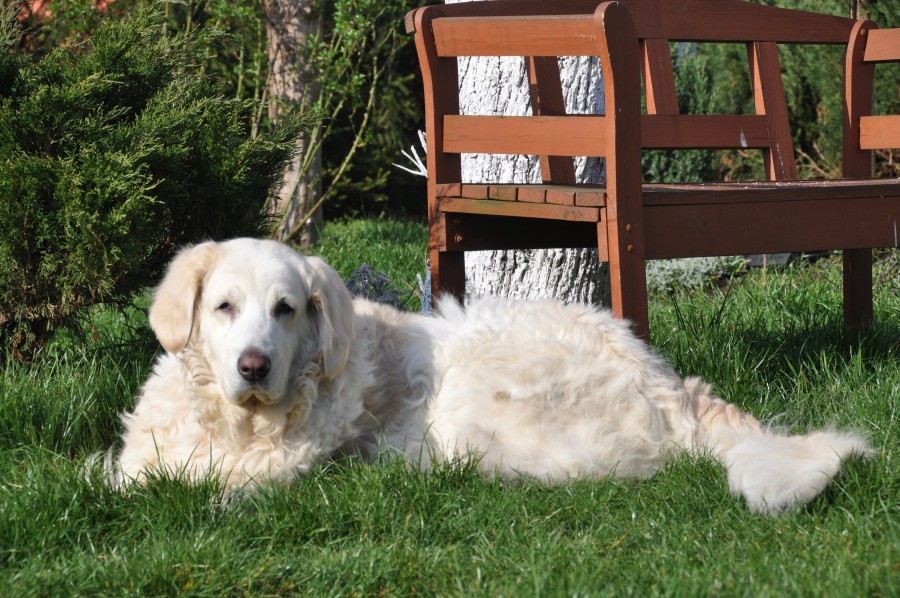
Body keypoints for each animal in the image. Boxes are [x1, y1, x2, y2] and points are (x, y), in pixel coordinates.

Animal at [109, 239, 868, 516]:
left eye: (285, 309)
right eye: (224, 307)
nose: (254, 365)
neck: (236, 425)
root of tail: (668, 385)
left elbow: (234, 492)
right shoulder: (137, 464)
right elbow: (119, 481)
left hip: (474, 386)